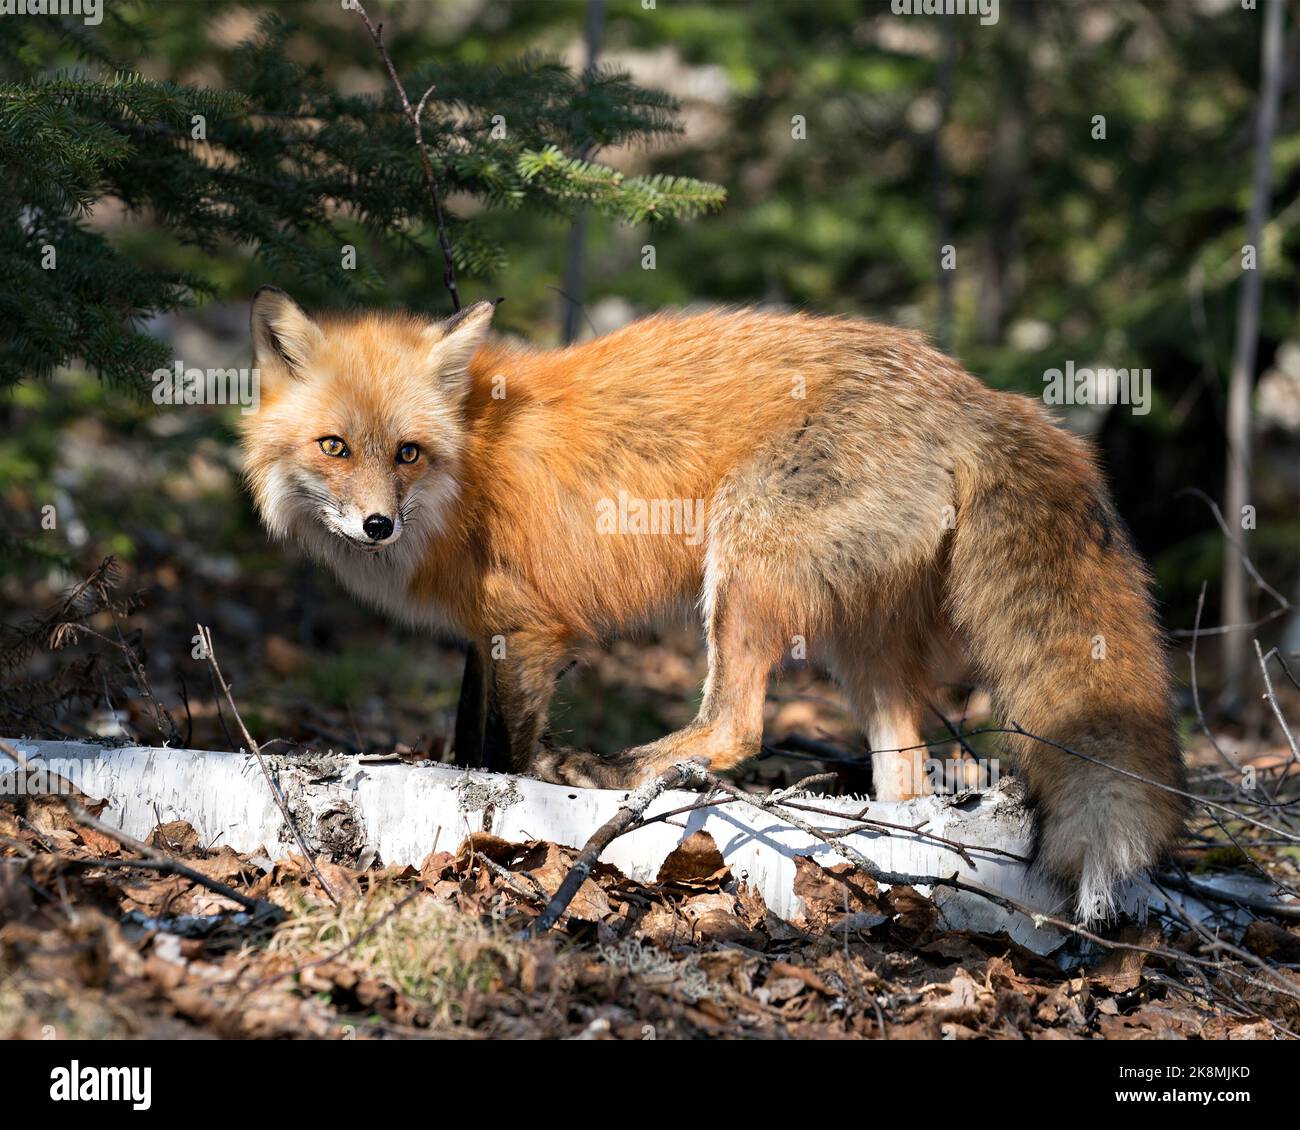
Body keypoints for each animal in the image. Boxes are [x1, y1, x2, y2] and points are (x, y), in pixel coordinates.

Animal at [244, 286, 1190, 920]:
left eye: (406, 452)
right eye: (334, 447)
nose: (375, 525)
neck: (471, 464)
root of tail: (973, 388)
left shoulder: (531, 627)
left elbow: (506, 755)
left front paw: (510, 820)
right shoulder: (489, 639)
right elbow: (467, 738)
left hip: (744, 568)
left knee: (735, 726)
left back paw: (617, 772)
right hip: (856, 640)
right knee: (906, 771)